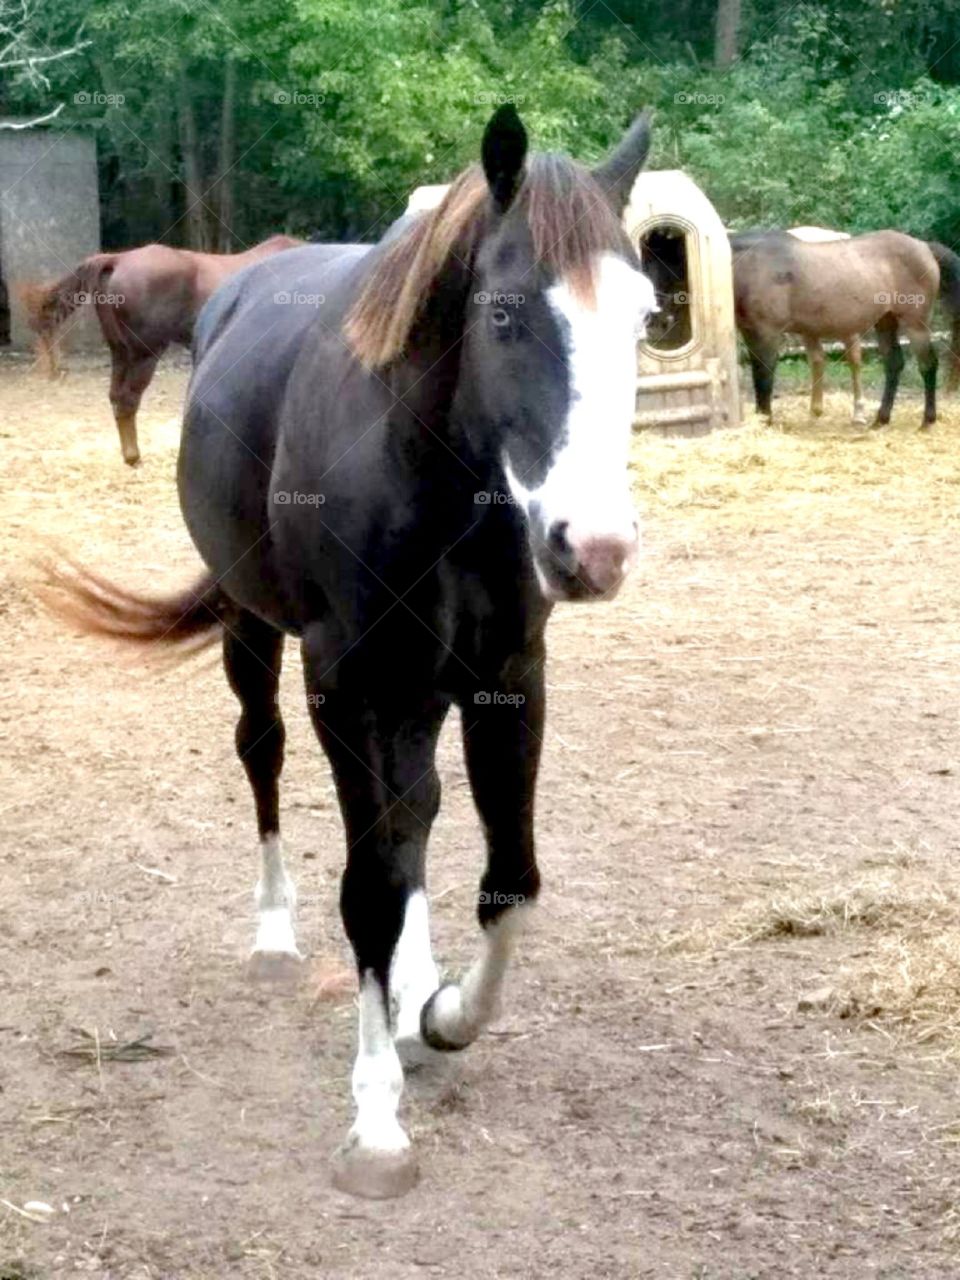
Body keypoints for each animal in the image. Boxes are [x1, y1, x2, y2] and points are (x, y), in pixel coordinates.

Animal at [20, 234, 302, 465]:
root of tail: (117, 259)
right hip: (144, 353)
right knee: (127, 398)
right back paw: (133, 456)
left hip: (120, 351)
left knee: (116, 396)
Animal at [730, 229, 941, 429]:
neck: (754, 264)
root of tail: (925, 247)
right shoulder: (750, 332)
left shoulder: (766, 334)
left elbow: (763, 378)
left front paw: (765, 420)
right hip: (885, 321)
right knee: (893, 364)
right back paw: (881, 419)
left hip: (916, 325)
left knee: (928, 364)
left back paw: (927, 421)